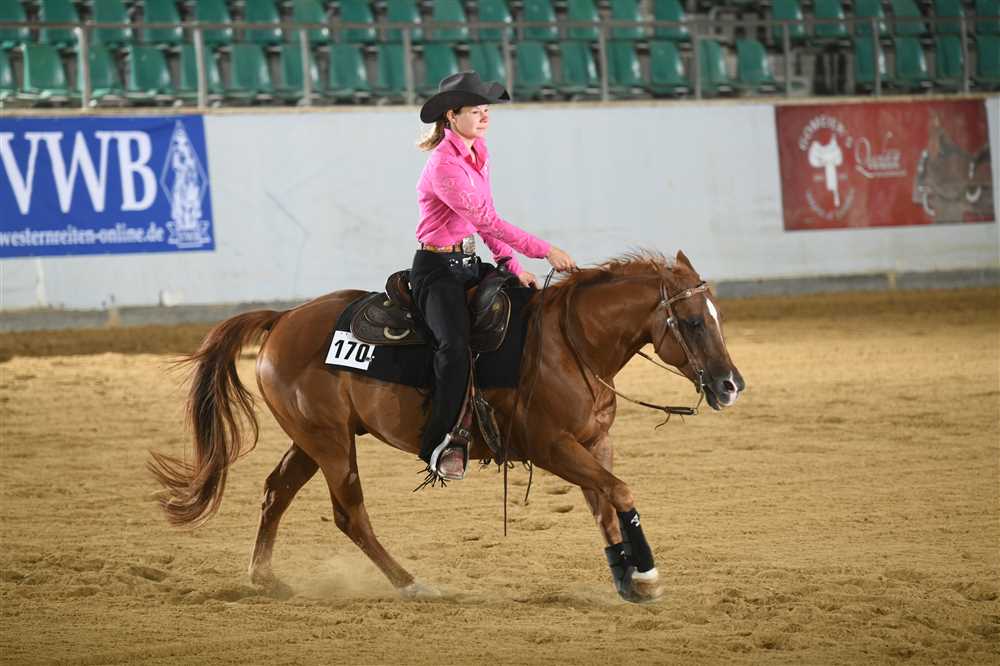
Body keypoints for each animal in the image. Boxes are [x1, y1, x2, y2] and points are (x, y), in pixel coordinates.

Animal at [149, 250, 745, 603]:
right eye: (694, 321)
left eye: (717, 316)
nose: (730, 385)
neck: (569, 343)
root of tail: (282, 320)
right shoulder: (552, 446)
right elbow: (619, 492)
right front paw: (645, 574)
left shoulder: (596, 442)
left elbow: (605, 504)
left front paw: (624, 575)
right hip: (331, 444)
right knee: (349, 515)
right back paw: (410, 583)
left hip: (313, 439)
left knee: (276, 492)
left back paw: (265, 578)